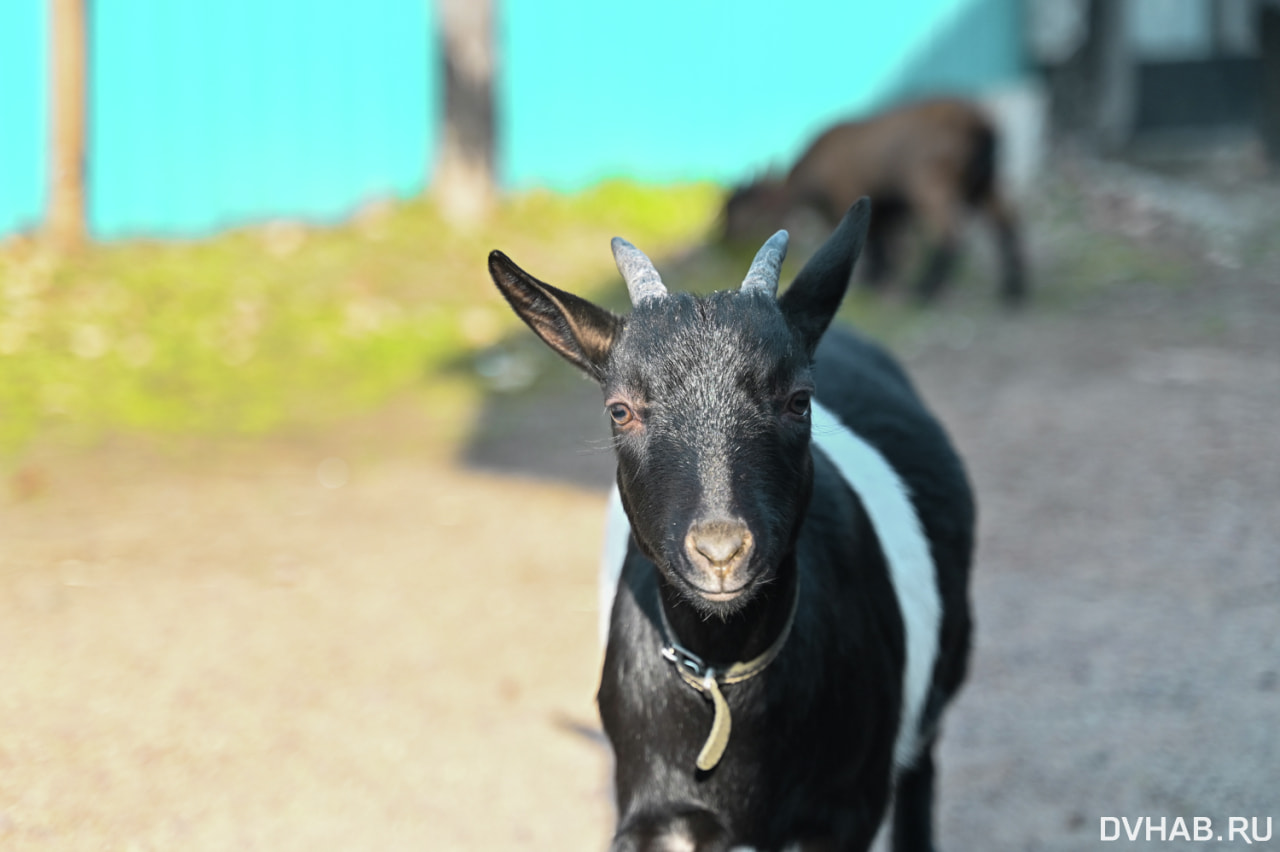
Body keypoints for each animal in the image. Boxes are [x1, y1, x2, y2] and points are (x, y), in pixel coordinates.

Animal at [486, 199, 967, 849]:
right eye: (621, 410)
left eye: (799, 400)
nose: (720, 552)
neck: (723, 670)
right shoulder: (656, 809)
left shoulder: (844, 808)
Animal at [721, 97, 1029, 303]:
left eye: (737, 208)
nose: (724, 238)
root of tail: (982, 128)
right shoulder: (886, 206)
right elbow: (884, 242)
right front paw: (883, 276)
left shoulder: (848, 196)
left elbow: (873, 244)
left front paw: (873, 280)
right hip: (984, 181)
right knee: (1007, 221)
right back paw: (1014, 289)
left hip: (931, 180)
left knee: (949, 232)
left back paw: (924, 290)